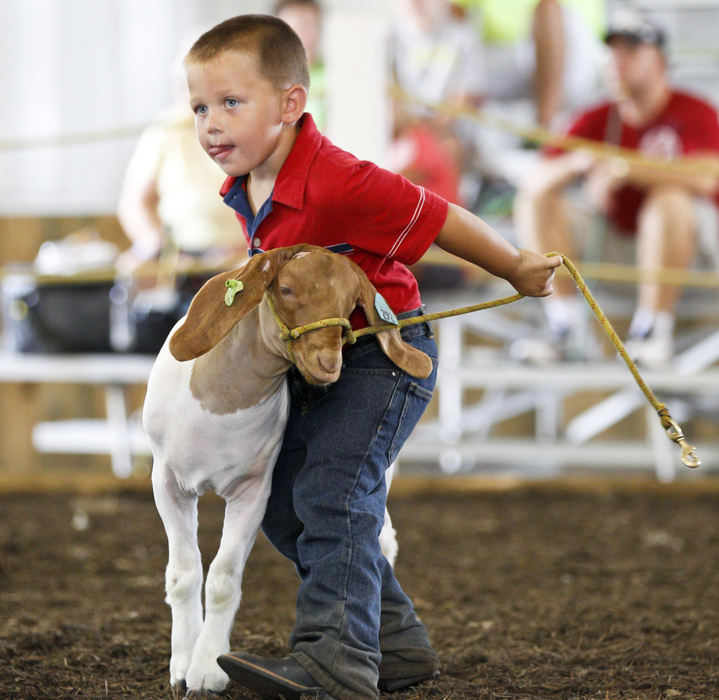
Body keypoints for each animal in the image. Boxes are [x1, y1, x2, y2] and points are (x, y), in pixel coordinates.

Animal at [143, 243, 430, 692]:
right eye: (287, 289)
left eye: (351, 304)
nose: (328, 363)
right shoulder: (169, 483)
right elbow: (184, 573)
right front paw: (182, 663)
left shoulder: (254, 491)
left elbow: (224, 578)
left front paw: (208, 670)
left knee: (380, 540)